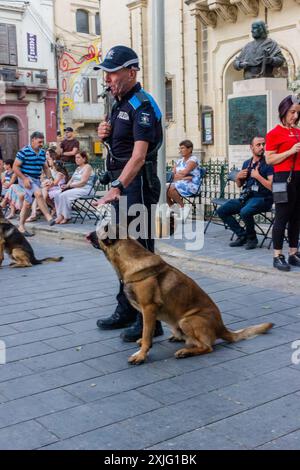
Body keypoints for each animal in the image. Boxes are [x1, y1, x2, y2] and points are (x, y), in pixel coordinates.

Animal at [85, 222, 274, 366]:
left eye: (98, 228)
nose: (87, 233)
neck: (129, 259)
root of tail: (222, 328)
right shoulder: (147, 311)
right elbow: (147, 331)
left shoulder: (149, 308)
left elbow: (147, 334)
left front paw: (141, 355)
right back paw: (179, 339)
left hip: (187, 320)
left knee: (207, 347)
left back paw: (185, 352)